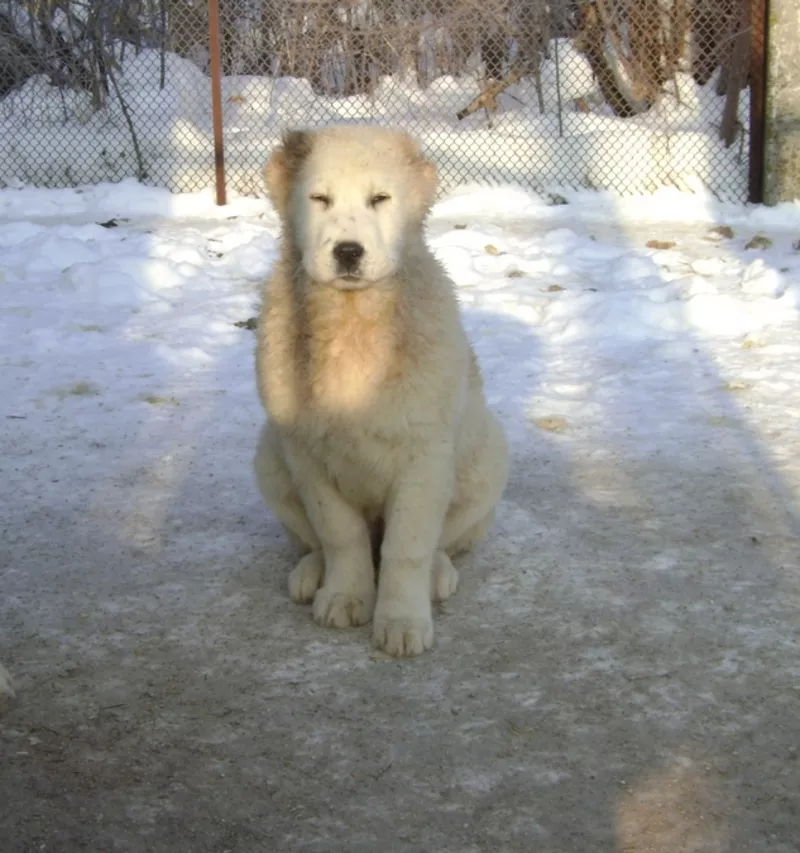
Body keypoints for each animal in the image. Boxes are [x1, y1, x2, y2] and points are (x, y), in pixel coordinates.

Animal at [253, 125, 510, 660]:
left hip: (488, 459)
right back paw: (310, 572)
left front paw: (402, 622)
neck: (354, 322)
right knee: (314, 541)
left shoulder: (424, 456)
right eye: (319, 198)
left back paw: (438, 574)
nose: (348, 252)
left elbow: (406, 547)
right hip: (268, 456)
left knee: (441, 542)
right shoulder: (306, 452)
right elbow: (340, 535)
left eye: (379, 199)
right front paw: (346, 597)